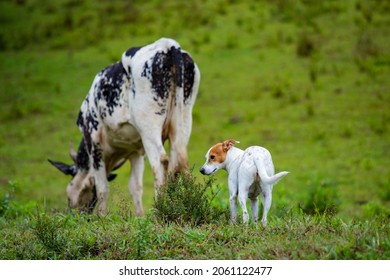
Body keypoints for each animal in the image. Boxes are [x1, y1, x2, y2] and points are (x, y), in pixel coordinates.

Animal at [48, 38, 200, 215]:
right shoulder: (136, 151)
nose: (79, 213)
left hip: (149, 127)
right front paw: (140, 216)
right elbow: (135, 187)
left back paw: (161, 211)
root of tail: (168, 45)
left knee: (161, 163)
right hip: (183, 120)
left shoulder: (93, 141)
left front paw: (101, 216)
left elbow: (102, 187)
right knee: (180, 163)